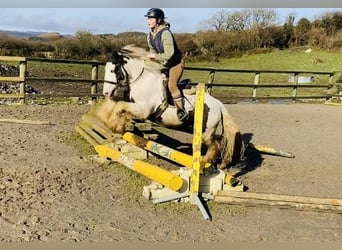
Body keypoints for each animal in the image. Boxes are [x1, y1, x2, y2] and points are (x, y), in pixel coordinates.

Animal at [95, 45, 243, 170]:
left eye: (113, 70)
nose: (105, 93)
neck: (142, 81)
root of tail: (218, 103)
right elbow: (118, 105)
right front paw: (109, 120)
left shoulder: (143, 110)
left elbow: (120, 105)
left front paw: (114, 125)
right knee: (218, 142)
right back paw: (218, 162)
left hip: (206, 131)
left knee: (215, 145)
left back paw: (203, 162)